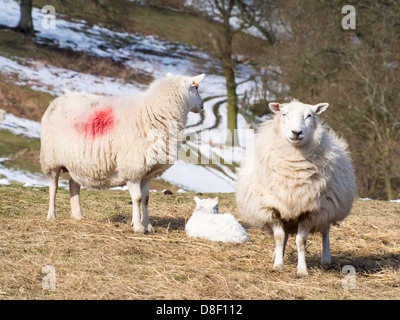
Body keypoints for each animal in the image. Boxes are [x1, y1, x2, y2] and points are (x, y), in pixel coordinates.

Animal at [39, 74, 206, 234]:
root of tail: (57, 100)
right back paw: (51, 216)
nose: (202, 105)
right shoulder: (133, 169)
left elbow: (146, 199)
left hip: (77, 162)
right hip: (52, 158)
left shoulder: (148, 172)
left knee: (73, 184)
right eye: (196, 88)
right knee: (53, 187)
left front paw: (148, 226)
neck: (154, 112)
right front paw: (138, 227)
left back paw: (78, 215)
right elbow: (137, 199)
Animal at [236, 99, 354, 276]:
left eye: (309, 115)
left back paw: (326, 259)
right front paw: (278, 265)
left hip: (327, 208)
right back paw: (278, 255)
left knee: (325, 231)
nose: (296, 132)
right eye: (284, 114)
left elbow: (301, 241)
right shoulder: (272, 209)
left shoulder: (310, 211)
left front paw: (302, 270)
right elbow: (279, 238)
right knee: (284, 236)